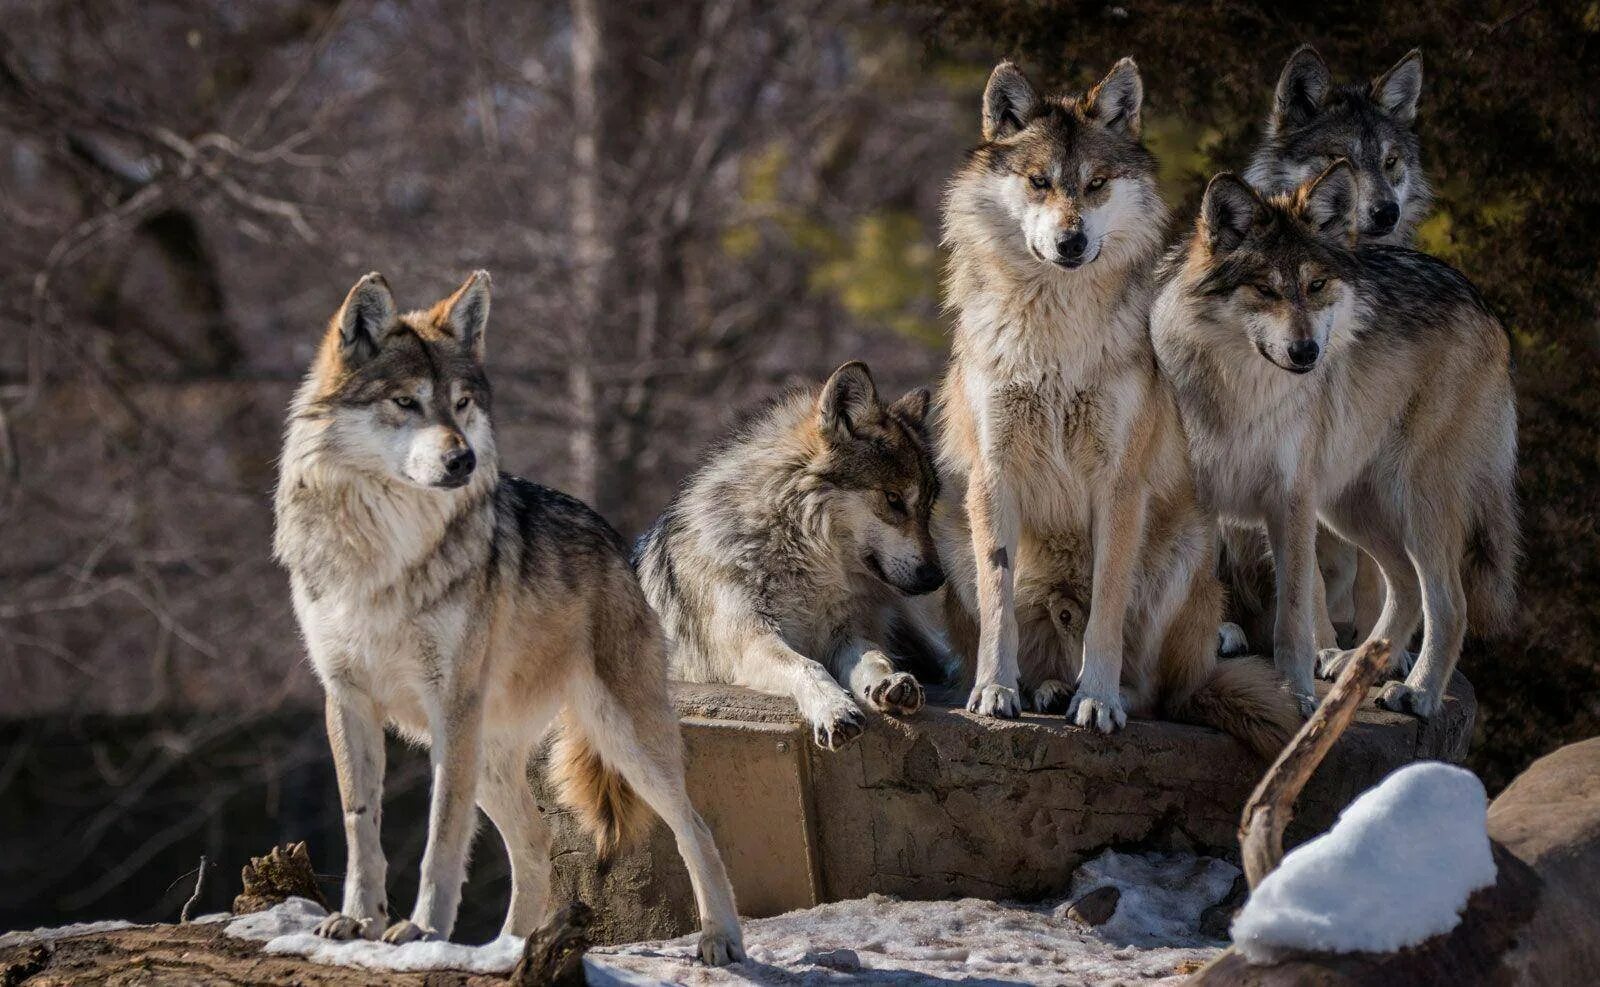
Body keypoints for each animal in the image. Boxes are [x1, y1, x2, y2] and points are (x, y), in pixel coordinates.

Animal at [273, 271, 742, 959]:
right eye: (406, 402)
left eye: (462, 403)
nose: (462, 459)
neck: (384, 553)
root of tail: (618, 539)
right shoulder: (347, 697)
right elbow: (361, 826)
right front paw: (357, 922)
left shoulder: (451, 704)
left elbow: (442, 833)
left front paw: (423, 931)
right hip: (491, 756)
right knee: (536, 842)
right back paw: (510, 948)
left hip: (618, 738)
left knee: (696, 825)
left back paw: (720, 938)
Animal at [633, 359, 947, 745]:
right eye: (893, 500)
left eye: (928, 507)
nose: (936, 577)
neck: (806, 557)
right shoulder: (753, 641)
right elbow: (807, 664)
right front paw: (834, 708)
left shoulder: (846, 634)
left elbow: (876, 657)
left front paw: (889, 683)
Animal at [934, 59, 1299, 755]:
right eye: (1040, 182)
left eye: (1097, 185)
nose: (1071, 242)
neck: (1053, 339)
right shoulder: (992, 477)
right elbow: (998, 604)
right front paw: (994, 692)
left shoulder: (1119, 484)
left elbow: (1105, 610)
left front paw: (1097, 701)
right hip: (952, 538)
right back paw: (1044, 689)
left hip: (1188, 546)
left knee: (1162, 694)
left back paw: (1100, 695)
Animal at [1158, 161, 1516, 716]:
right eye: (1265, 290)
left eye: (1317, 284)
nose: (1307, 352)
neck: (1243, 393)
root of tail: (1478, 298)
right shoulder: (1201, 499)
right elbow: (1201, 591)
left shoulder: (1291, 501)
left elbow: (1293, 619)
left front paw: (1298, 698)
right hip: (1349, 507)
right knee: (1406, 584)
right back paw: (1358, 664)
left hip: (1413, 499)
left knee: (1449, 602)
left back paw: (1418, 691)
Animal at [1222, 42, 1440, 649]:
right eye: (1338, 160)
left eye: (1390, 162)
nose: (1386, 211)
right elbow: (1306, 574)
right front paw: (1317, 645)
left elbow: (1375, 579)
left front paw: (1375, 647)